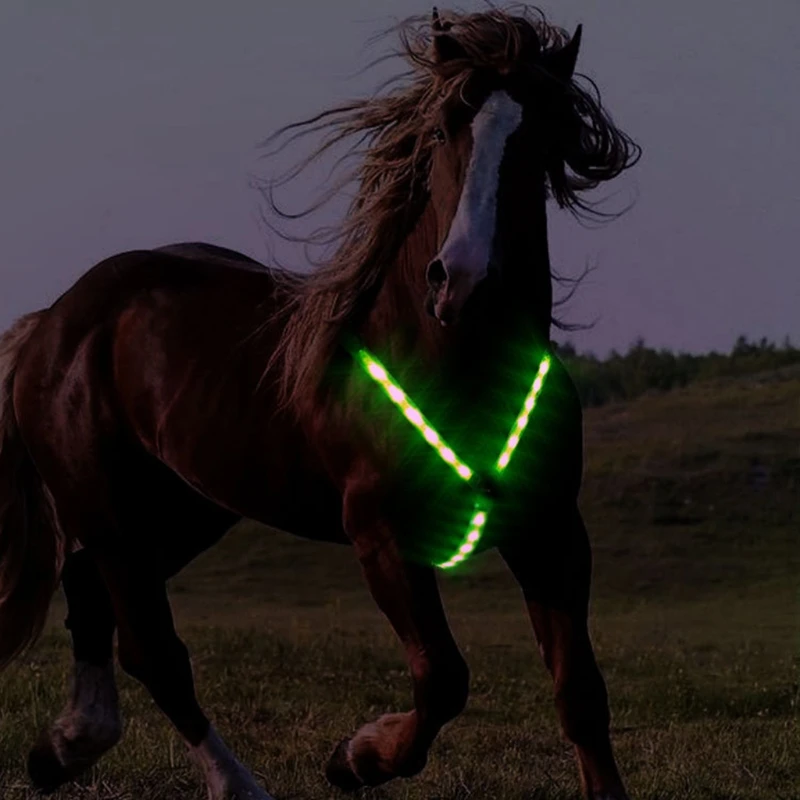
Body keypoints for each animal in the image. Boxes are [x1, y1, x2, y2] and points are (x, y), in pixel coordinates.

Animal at [0, 8, 640, 799]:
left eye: (542, 132)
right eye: (441, 130)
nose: (461, 283)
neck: (453, 362)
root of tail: (53, 321)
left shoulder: (550, 530)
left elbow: (579, 692)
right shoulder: (382, 536)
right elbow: (443, 679)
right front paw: (354, 757)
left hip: (185, 509)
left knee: (90, 593)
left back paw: (62, 750)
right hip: (109, 510)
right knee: (154, 650)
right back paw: (233, 783)